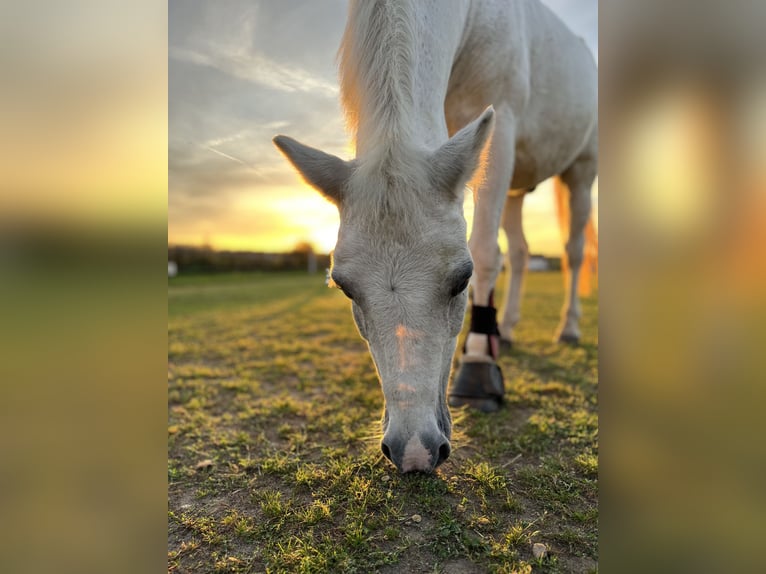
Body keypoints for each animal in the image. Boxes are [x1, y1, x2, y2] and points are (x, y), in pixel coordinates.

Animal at [276, 0, 600, 474]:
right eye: (346, 288)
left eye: (461, 280)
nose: (414, 451)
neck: (474, 19)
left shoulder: (500, 128)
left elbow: (486, 251)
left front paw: (479, 365)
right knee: (522, 253)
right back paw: (509, 329)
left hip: (580, 172)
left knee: (573, 252)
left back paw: (569, 327)